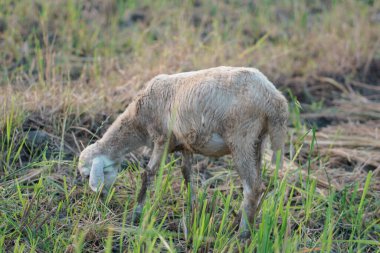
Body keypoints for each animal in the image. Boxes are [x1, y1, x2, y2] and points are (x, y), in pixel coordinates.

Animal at [78, 66, 288, 236]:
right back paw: (243, 223)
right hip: (257, 140)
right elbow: (187, 173)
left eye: (88, 175)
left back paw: (242, 234)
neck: (137, 121)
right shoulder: (186, 143)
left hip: (241, 136)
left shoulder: (162, 138)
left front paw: (135, 214)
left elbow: (148, 173)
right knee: (259, 184)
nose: (101, 199)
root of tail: (275, 101)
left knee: (252, 188)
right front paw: (193, 209)